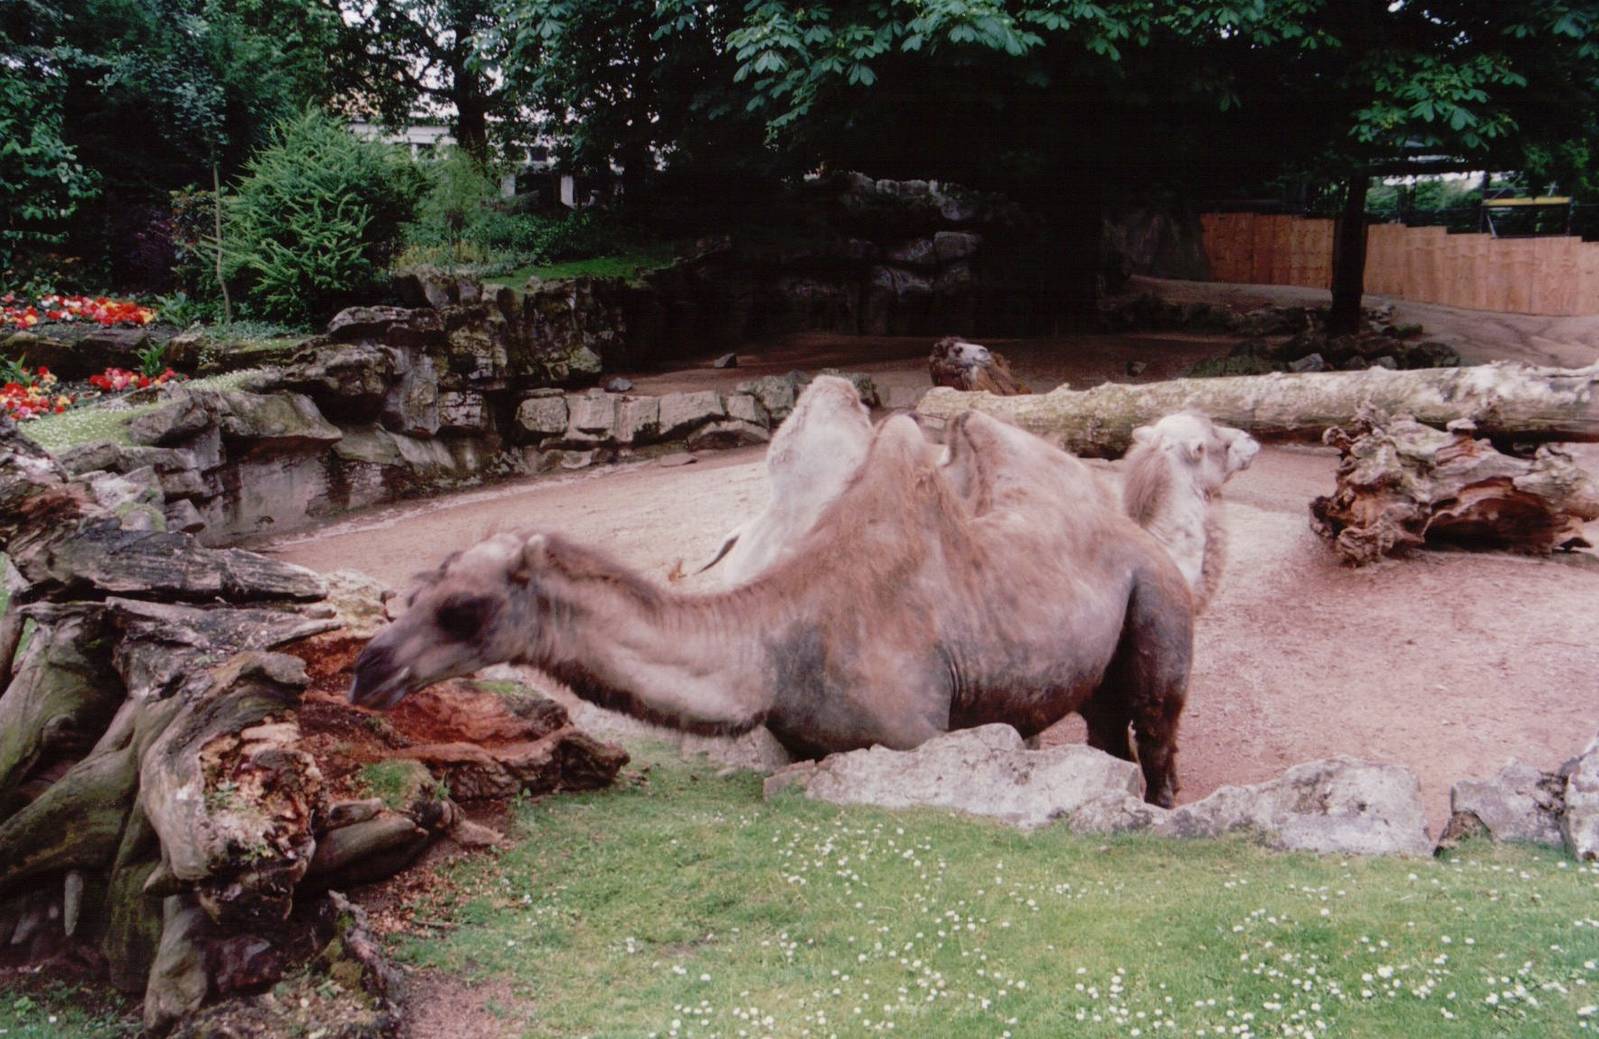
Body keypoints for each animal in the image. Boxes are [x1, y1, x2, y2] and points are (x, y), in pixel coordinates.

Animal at [352, 410, 1195, 805]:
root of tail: (1143, 536)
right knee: (1105, 724)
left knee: (1155, 730)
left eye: (463, 608)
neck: (780, 646)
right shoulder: (803, 746)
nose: (366, 670)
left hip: (1157, 602)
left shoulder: (916, 732)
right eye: (412, 590)